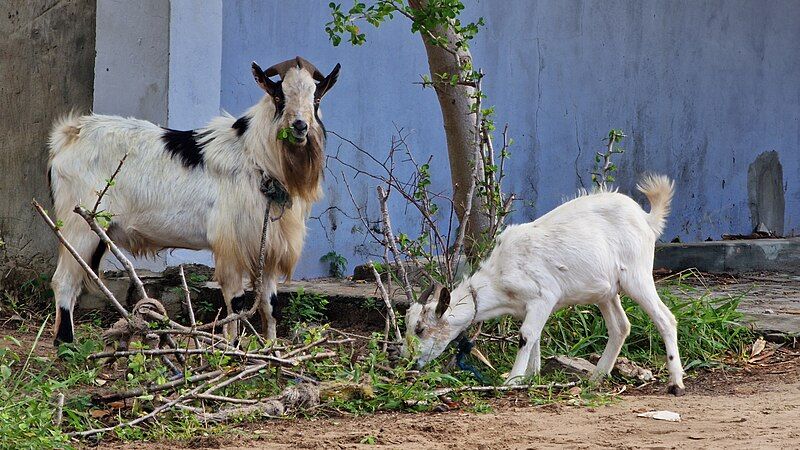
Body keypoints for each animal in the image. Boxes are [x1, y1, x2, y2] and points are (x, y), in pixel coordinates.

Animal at [47, 56, 340, 344]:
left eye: (316, 98)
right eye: (279, 96)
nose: (299, 126)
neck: (254, 156)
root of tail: (69, 134)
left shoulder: (267, 249)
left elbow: (270, 305)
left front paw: (271, 349)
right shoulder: (230, 246)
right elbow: (237, 303)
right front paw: (231, 350)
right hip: (78, 224)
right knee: (63, 281)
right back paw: (65, 344)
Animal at [406, 175, 688, 394]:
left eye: (420, 329)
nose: (410, 364)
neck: (499, 275)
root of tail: (646, 219)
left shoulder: (543, 296)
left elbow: (525, 336)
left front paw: (512, 379)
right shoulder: (529, 307)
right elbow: (535, 336)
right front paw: (530, 376)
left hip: (637, 275)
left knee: (665, 319)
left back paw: (675, 383)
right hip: (605, 292)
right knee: (620, 327)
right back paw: (596, 378)